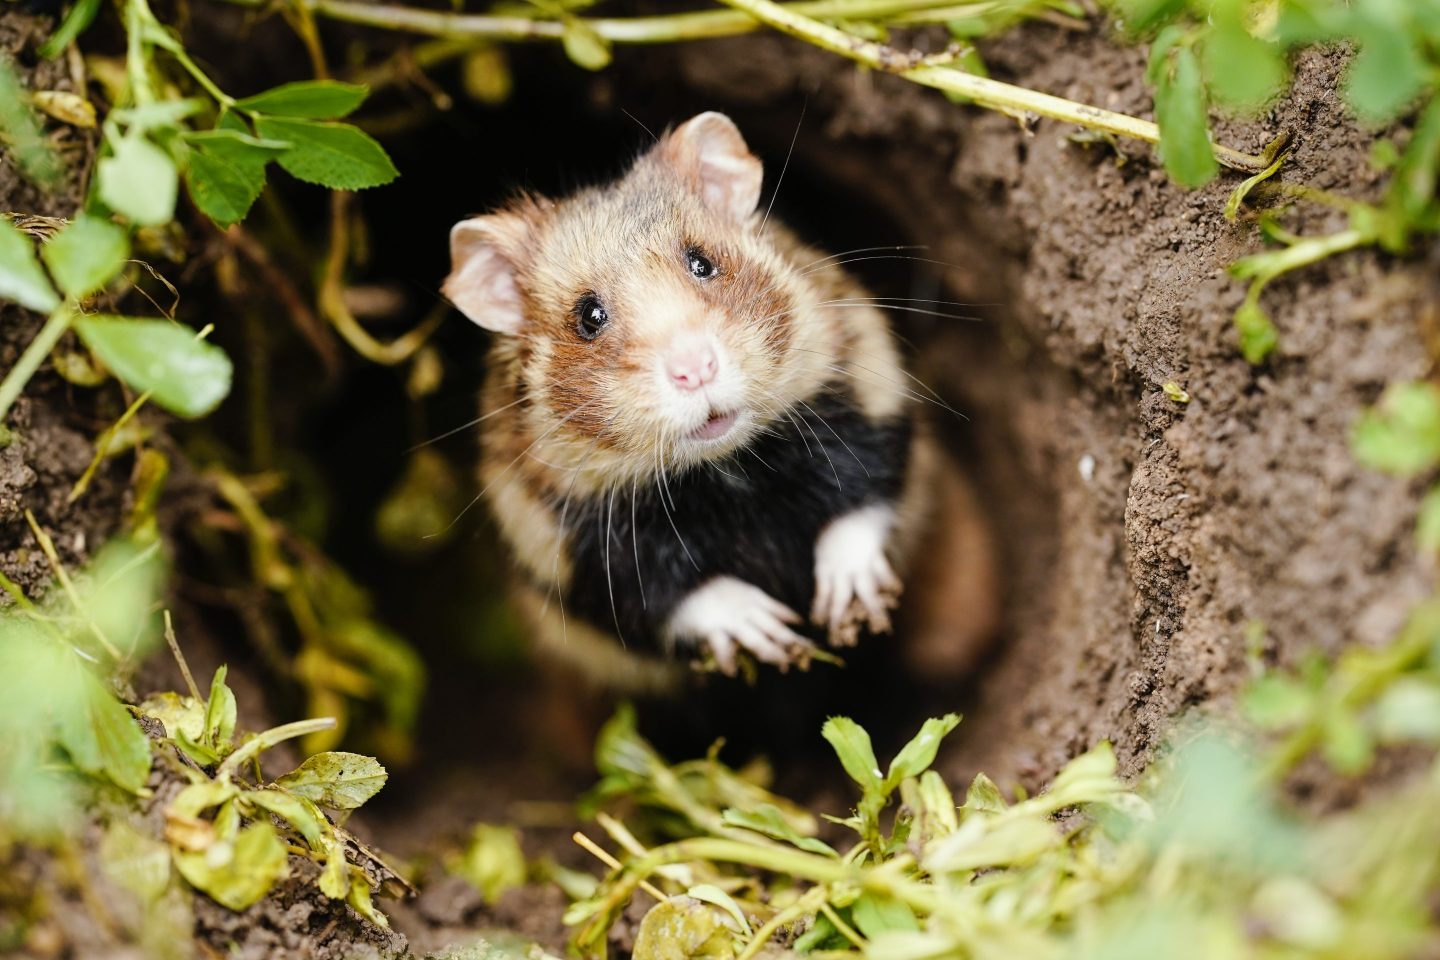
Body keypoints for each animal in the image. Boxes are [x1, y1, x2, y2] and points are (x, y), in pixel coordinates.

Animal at [443, 112, 959, 684]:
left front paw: (843, 603)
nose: (695, 369)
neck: (727, 473)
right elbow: (667, 595)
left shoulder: (868, 383)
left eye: (702, 263)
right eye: (589, 317)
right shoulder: (564, 542)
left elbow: (863, 495)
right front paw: (771, 631)